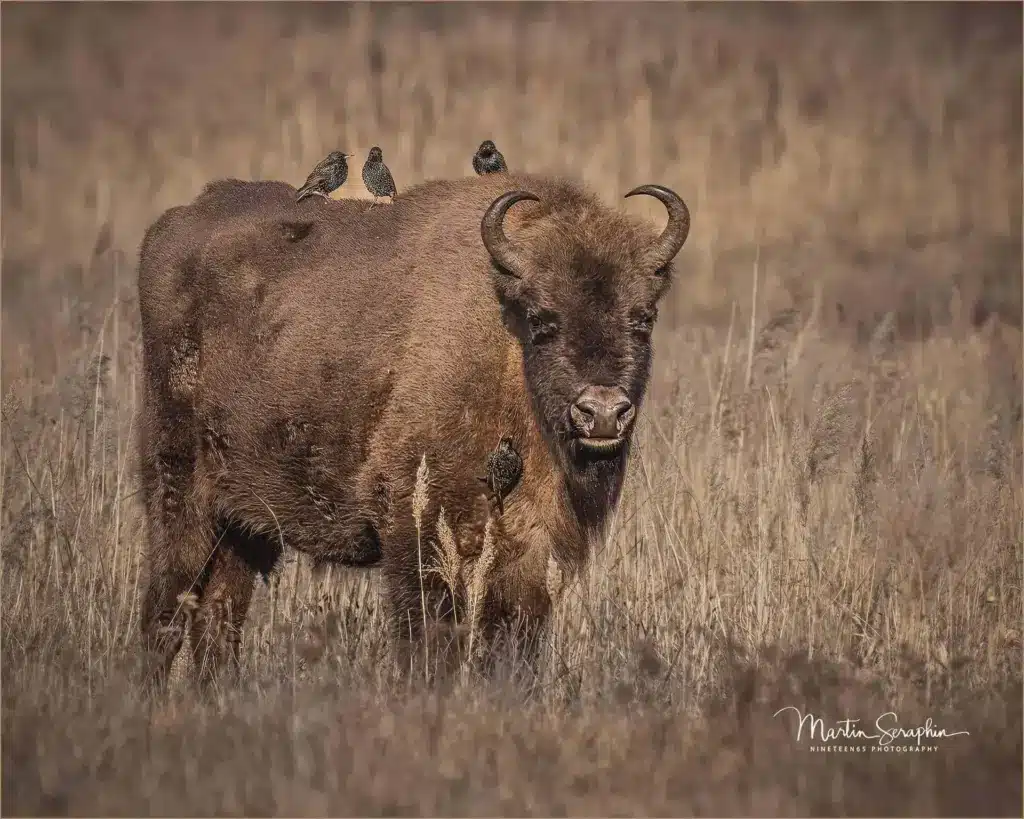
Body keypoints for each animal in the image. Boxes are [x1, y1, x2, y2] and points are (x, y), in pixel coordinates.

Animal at [136, 172, 690, 687]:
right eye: (541, 319)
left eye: (643, 317)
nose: (602, 412)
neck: (505, 348)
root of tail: (170, 227)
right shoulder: (417, 532)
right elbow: (427, 638)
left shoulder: (530, 553)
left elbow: (511, 645)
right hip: (179, 494)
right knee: (165, 608)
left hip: (245, 524)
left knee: (218, 614)